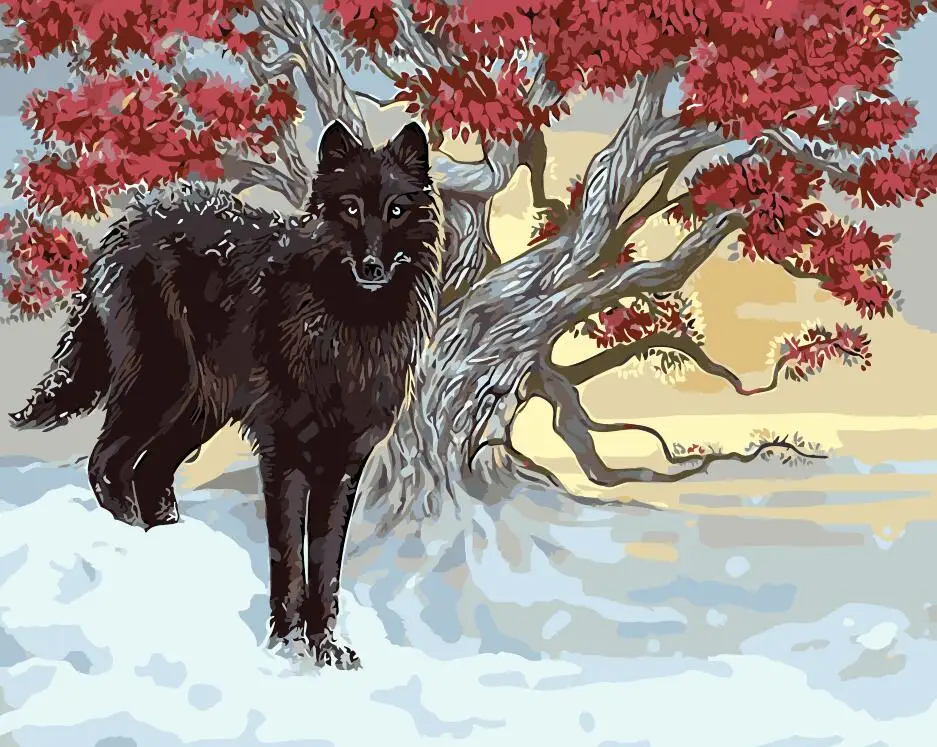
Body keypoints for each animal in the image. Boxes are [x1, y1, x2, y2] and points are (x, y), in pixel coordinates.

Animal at [9, 121, 443, 668]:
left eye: (395, 210)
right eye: (349, 208)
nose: (371, 267)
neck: (343, 328)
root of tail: (128, 221)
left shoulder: (343, 466)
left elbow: (327, 566)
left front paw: (325, 647)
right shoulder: (283, 456)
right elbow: (289, 560)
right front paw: (286, 645)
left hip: (197, 410)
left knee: (147, 470)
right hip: (159, 390)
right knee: (105, 462)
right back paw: (133, 542)